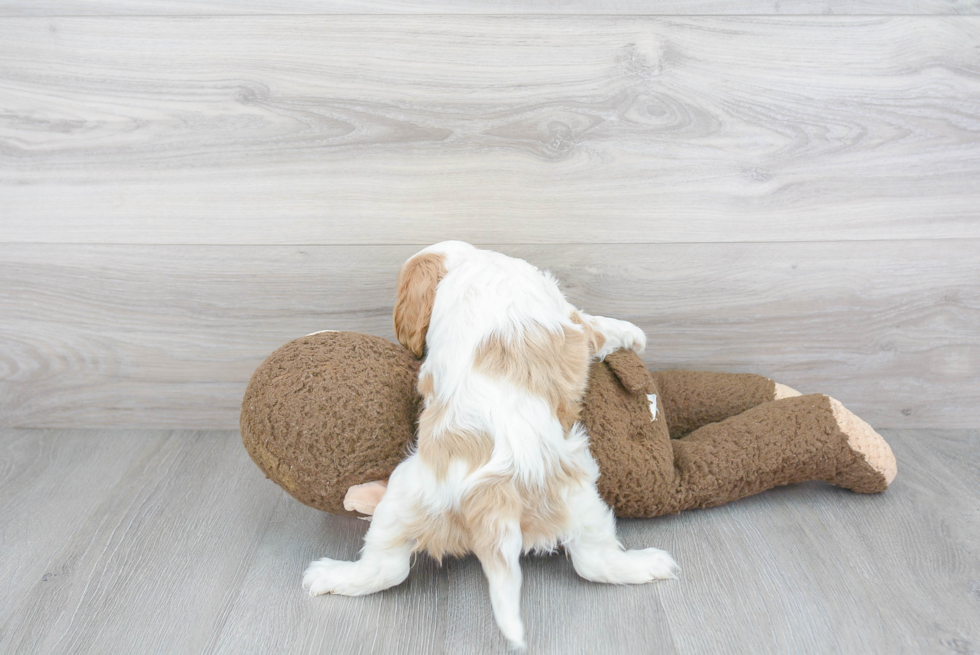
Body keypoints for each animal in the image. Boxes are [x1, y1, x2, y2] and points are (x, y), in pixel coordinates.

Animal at [302, 242, 676, 652]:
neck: (468, 260)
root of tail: (490, 492)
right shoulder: (569, 315)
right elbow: (596, 325)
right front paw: (633, 333)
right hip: (577, 494)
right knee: (594, 562)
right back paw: (648, 565)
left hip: (405, 497)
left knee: (387, 568)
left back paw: (330, 577)